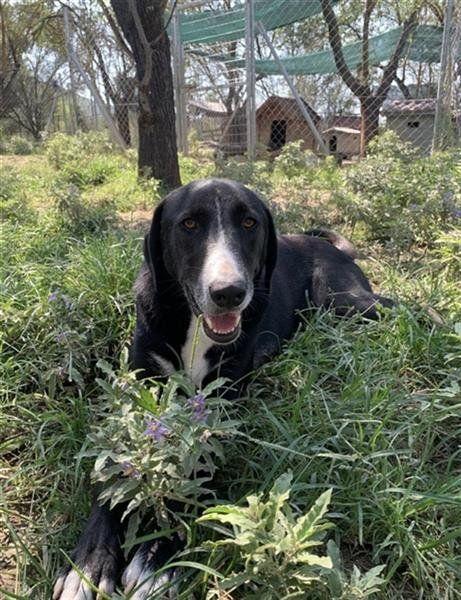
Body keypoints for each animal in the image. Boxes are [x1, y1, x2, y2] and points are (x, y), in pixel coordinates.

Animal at [54, 179, 394, 599]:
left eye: (249, 223)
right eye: (189, 224)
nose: (229, 292)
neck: (194, 325)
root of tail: (328, 245)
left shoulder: (219, 410)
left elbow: (194, 469)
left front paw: (156, 560)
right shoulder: (137, 398)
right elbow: (116, 474)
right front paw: (88, 566)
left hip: (343, 301)